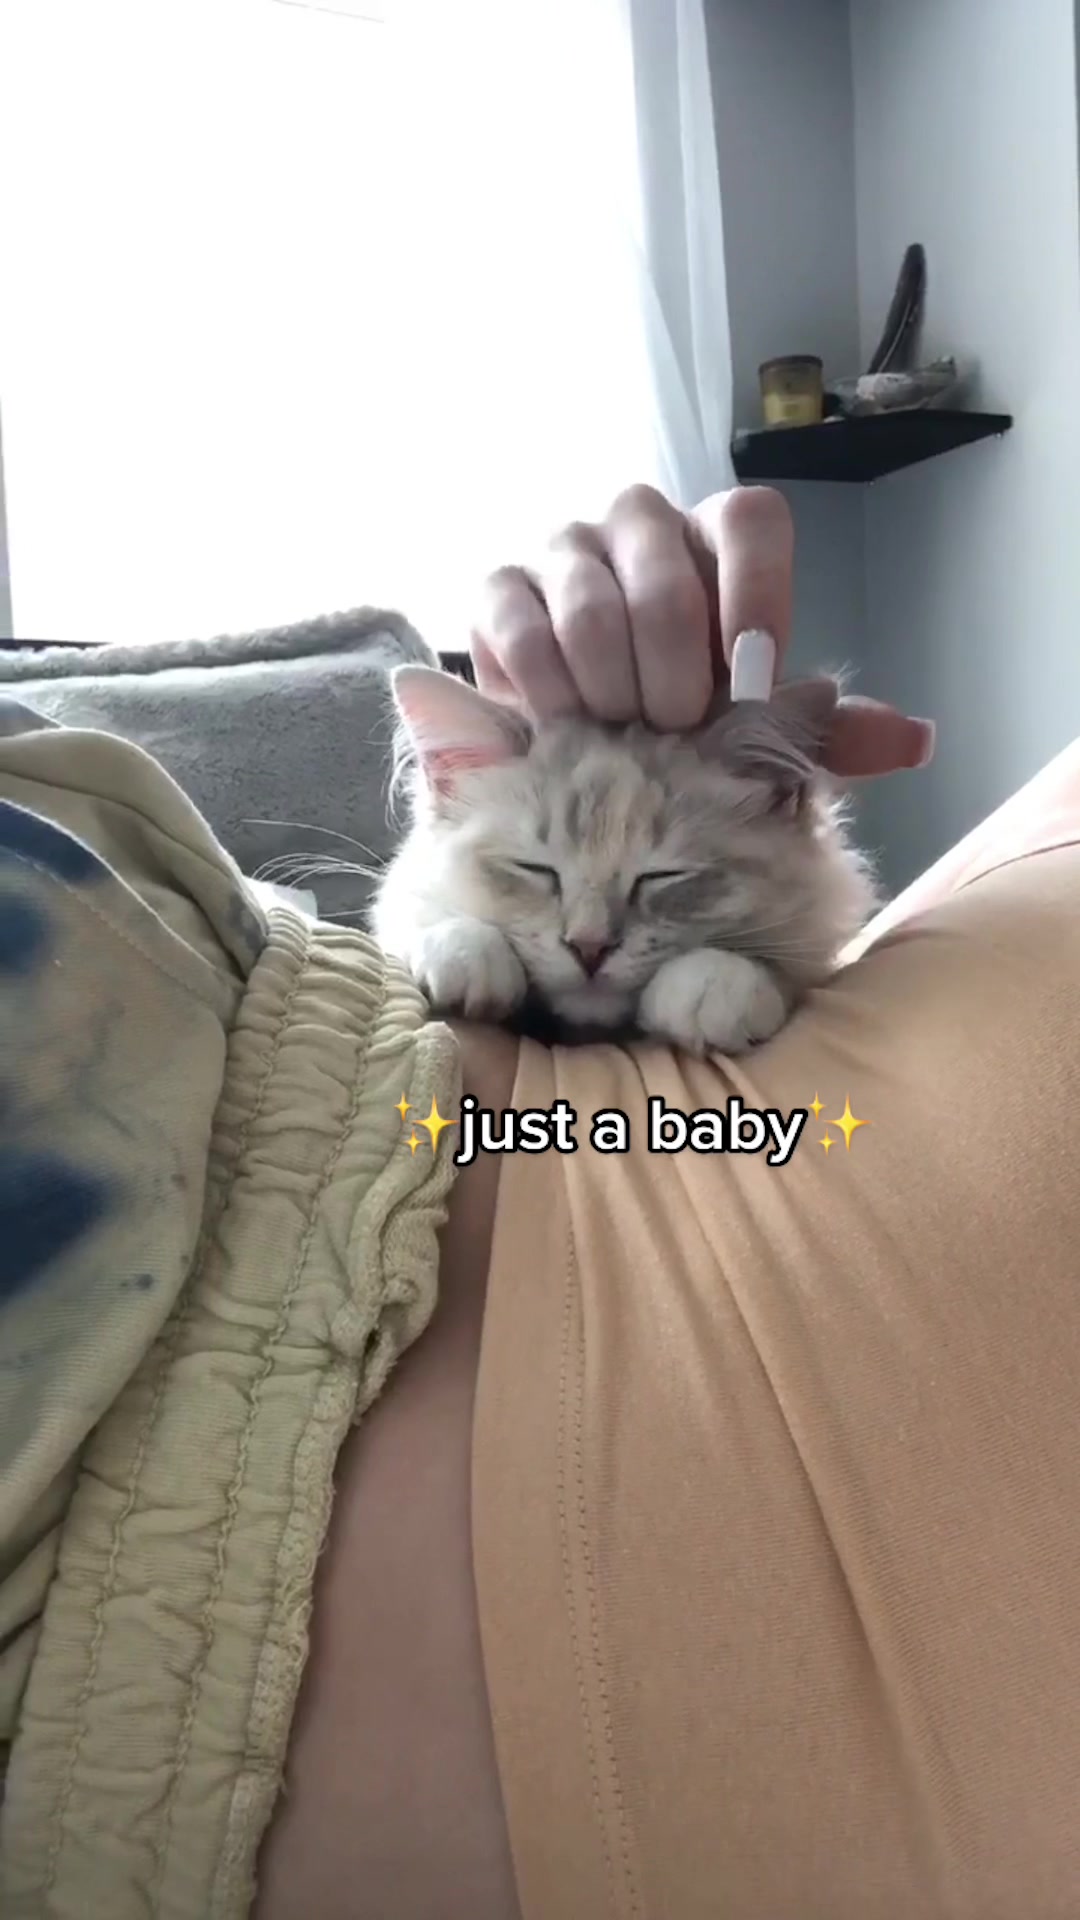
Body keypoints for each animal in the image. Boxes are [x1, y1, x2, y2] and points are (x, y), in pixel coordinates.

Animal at [371, 663, 878, 1055]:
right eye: (534, 869)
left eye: (662, 875)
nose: (589, 948)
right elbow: (423, 919)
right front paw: (463, 952)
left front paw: (715, 983)